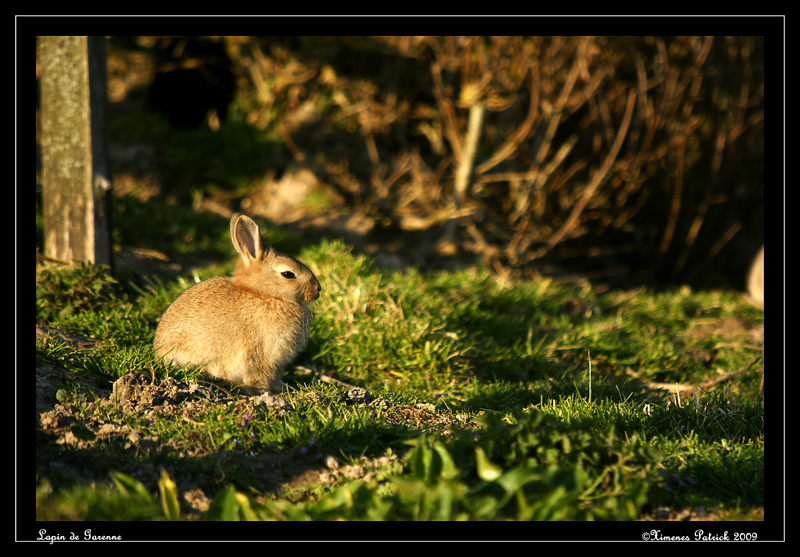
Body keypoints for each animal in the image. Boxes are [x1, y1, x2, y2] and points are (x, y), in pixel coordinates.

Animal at [153, 213, 321, 394]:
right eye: (288, 274)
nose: (318, 289)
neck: (265, 294)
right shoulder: (263, 354)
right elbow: (261, 375)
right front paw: (267, 392)